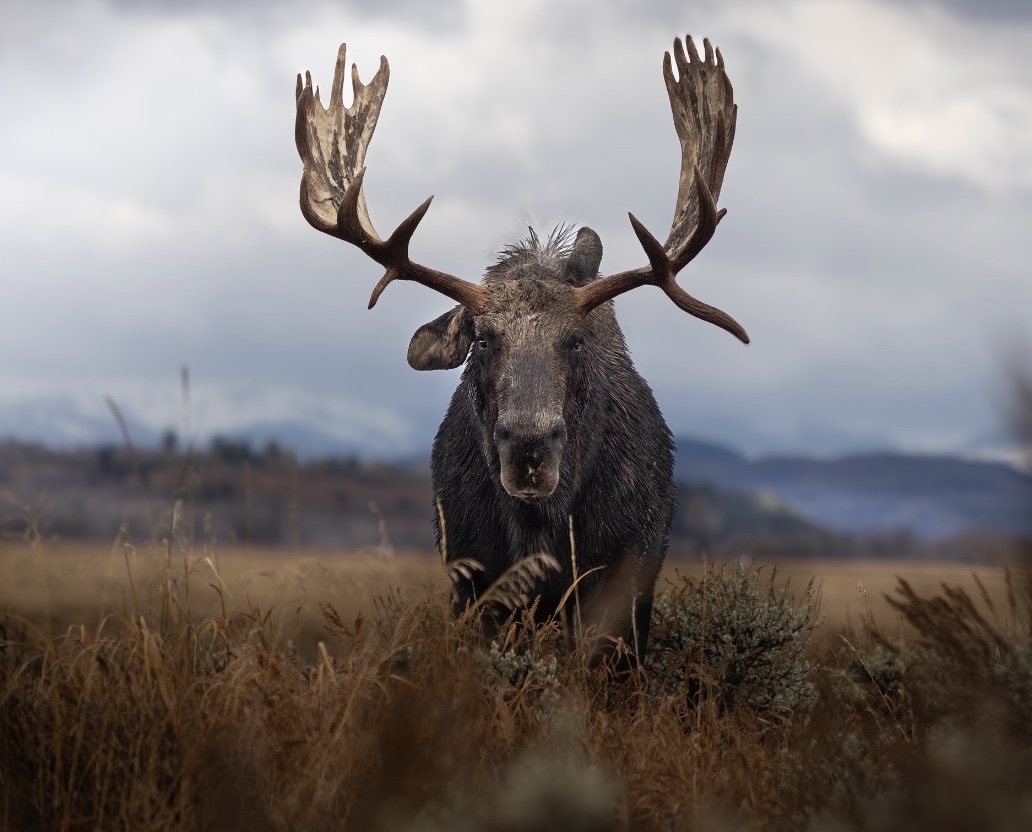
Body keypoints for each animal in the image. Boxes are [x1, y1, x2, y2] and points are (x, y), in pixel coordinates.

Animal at [295, 34, 747, 664]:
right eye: (483, 337)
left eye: (578, 341)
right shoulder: (470, 578)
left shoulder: (624, 578)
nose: (529, 447)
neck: (541, 530)